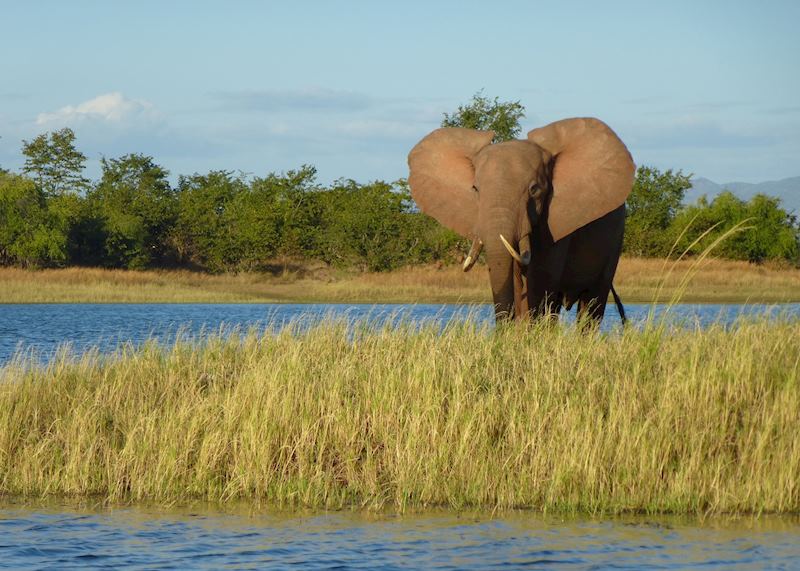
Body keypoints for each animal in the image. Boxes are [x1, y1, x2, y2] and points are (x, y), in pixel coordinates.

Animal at [407, 117, 634, 324]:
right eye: (475, 189)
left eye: (534, 190)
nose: (501, 331)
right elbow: (518, 281)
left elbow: (542, 281)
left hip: (616, 237)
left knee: (592, 303)